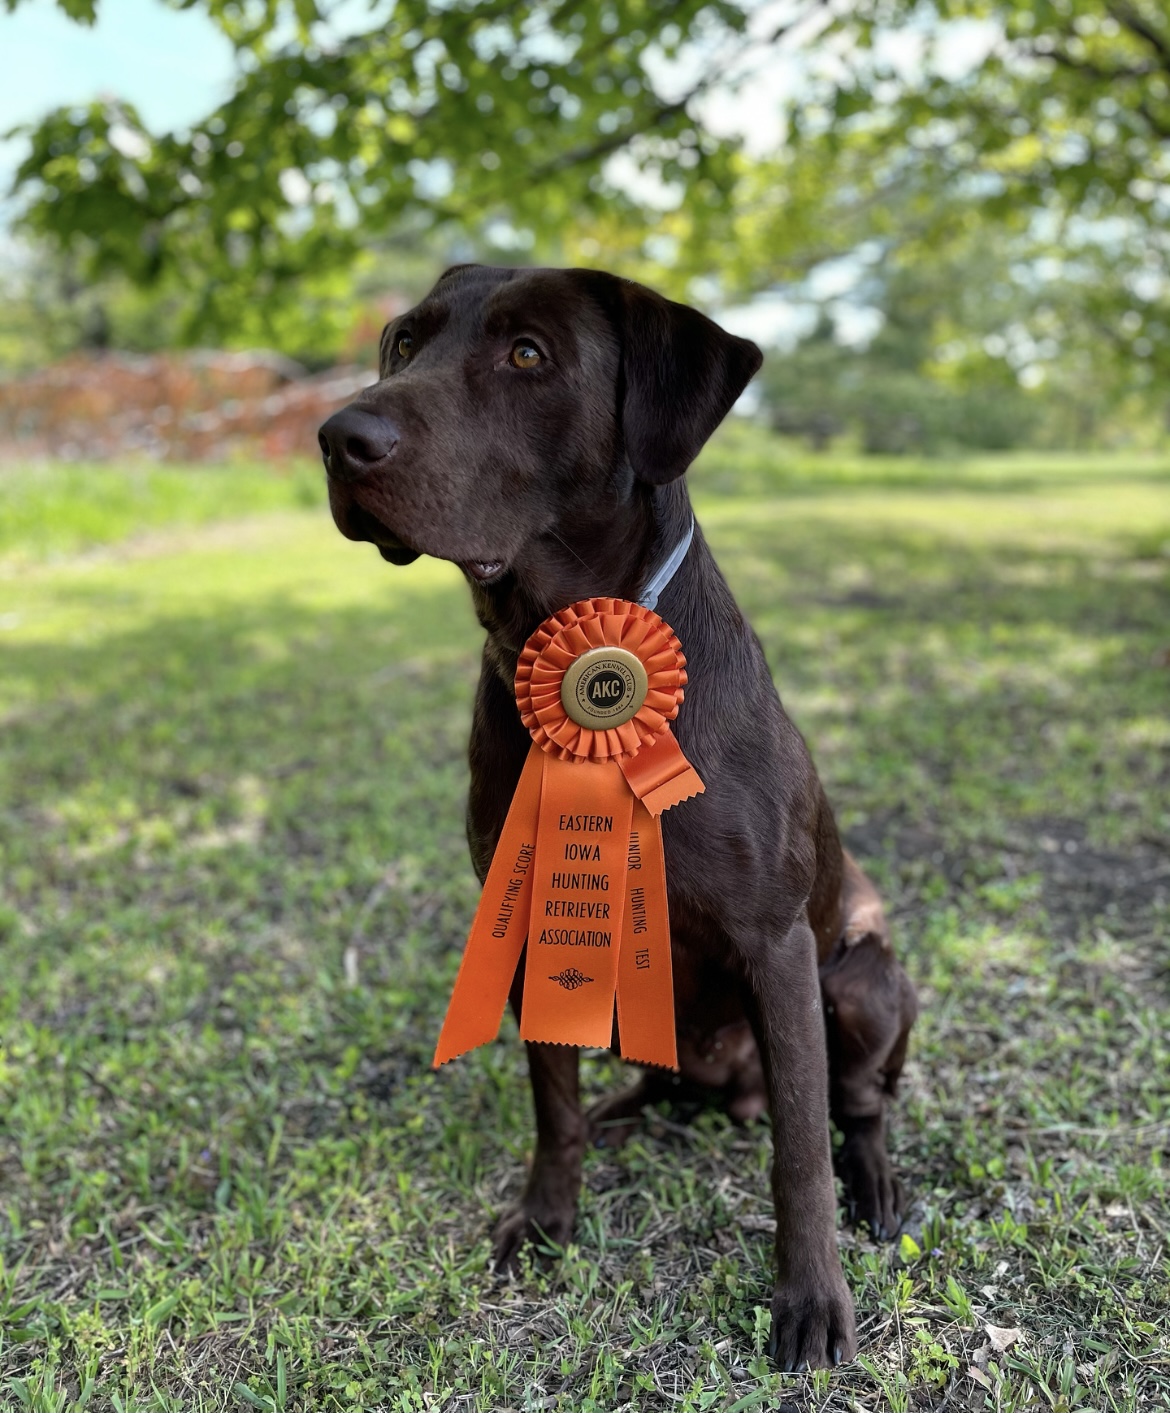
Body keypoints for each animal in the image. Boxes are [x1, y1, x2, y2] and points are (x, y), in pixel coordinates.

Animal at [317, 265, 915, 1367]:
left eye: (527, 355)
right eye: (406, 342)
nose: (339, 437)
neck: (561, 628)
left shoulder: (776, 944)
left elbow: (799, 1153)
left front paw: (811, 1298)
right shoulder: (527, 917)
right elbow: (550, 1106)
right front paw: (547, 1219)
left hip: (863, 978)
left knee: (855, 1107)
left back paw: (879, 1181)